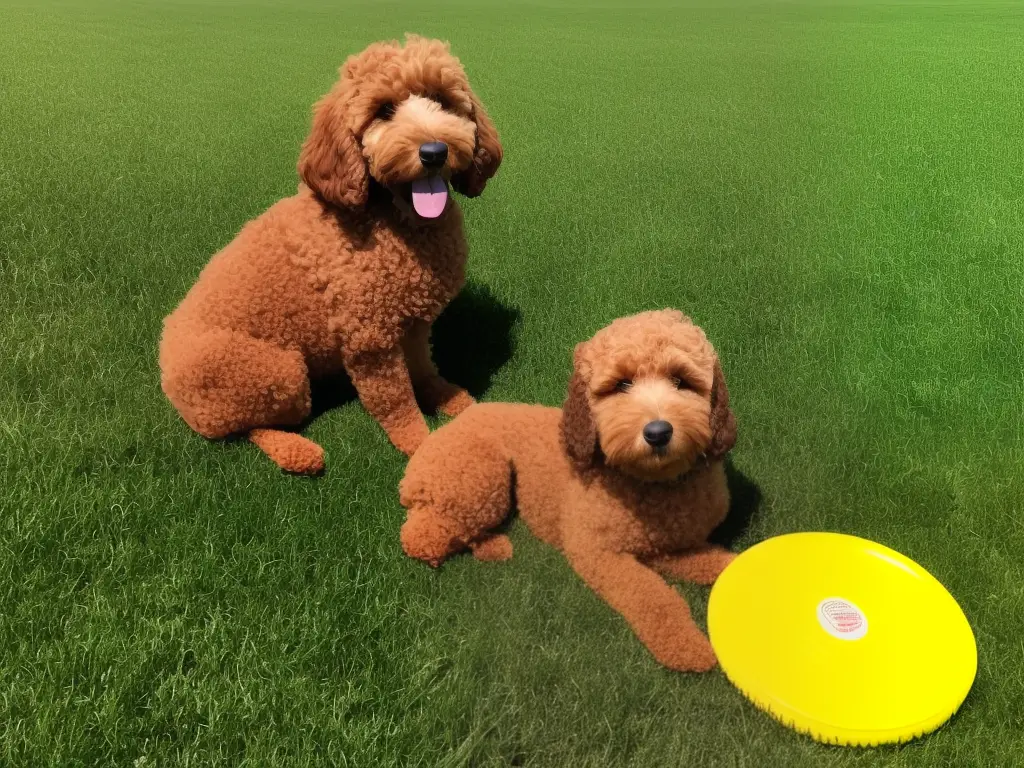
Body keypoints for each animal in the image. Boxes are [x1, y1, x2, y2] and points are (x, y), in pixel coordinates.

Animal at [156, 36, 503, 475]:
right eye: (383, 111)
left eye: (442, 101)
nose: (434, 152)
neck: (395, 219)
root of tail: (164, 368)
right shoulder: (370, 340)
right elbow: (396, 401)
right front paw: (420, 444)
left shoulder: (411, 322)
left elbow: (423, 367)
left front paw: (447, 398)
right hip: (276, 372)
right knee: (243, 428)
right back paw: (298, 452)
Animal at [397, 309, 737, 671]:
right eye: (621, 384)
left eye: (681, 380)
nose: (658, 432)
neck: (654, 484)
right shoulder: (596, 550)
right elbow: (652, 596)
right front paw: (688, 647)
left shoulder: (666, 546)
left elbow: (711, 560)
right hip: (479, 478)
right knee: (421, 536)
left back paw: (492, 544)